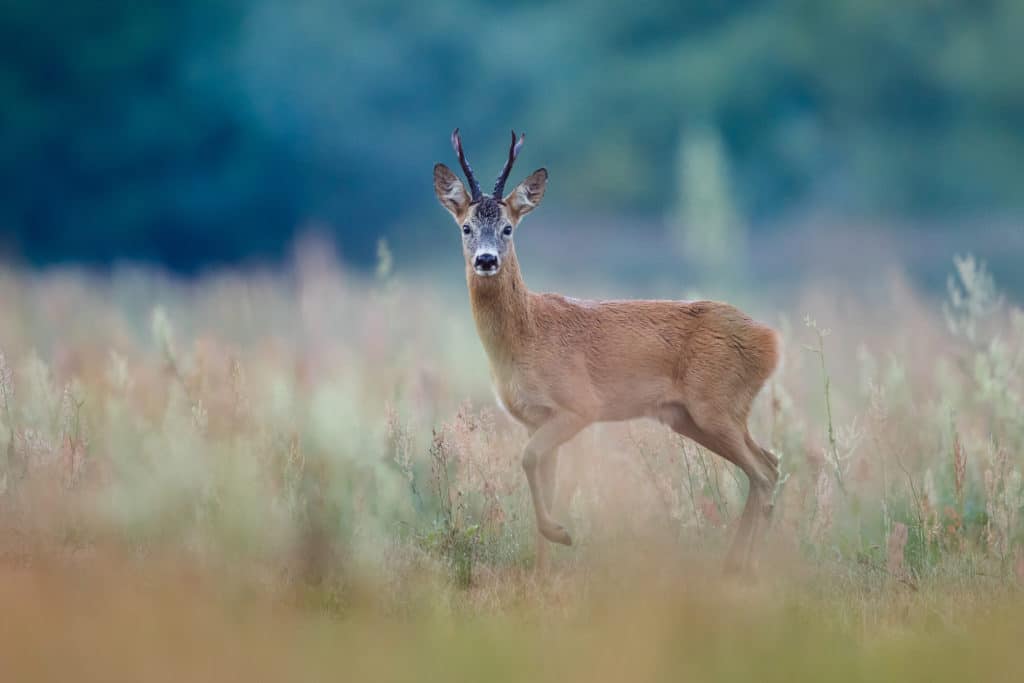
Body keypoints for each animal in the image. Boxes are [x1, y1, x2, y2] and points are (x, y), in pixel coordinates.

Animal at [434, 129, 782, 577]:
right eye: (466, 227)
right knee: (769, 463)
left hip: (716, 405)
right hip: (695, 417)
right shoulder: (534, 419)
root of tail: (770, 341)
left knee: (763, 472)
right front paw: (542, 571)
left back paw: (744, 567)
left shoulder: (579, 405)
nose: (486, 259)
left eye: (508, 228)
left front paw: (562, 534)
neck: (525, 338)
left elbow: (528, 461)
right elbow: (542, 476)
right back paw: (738, 564)